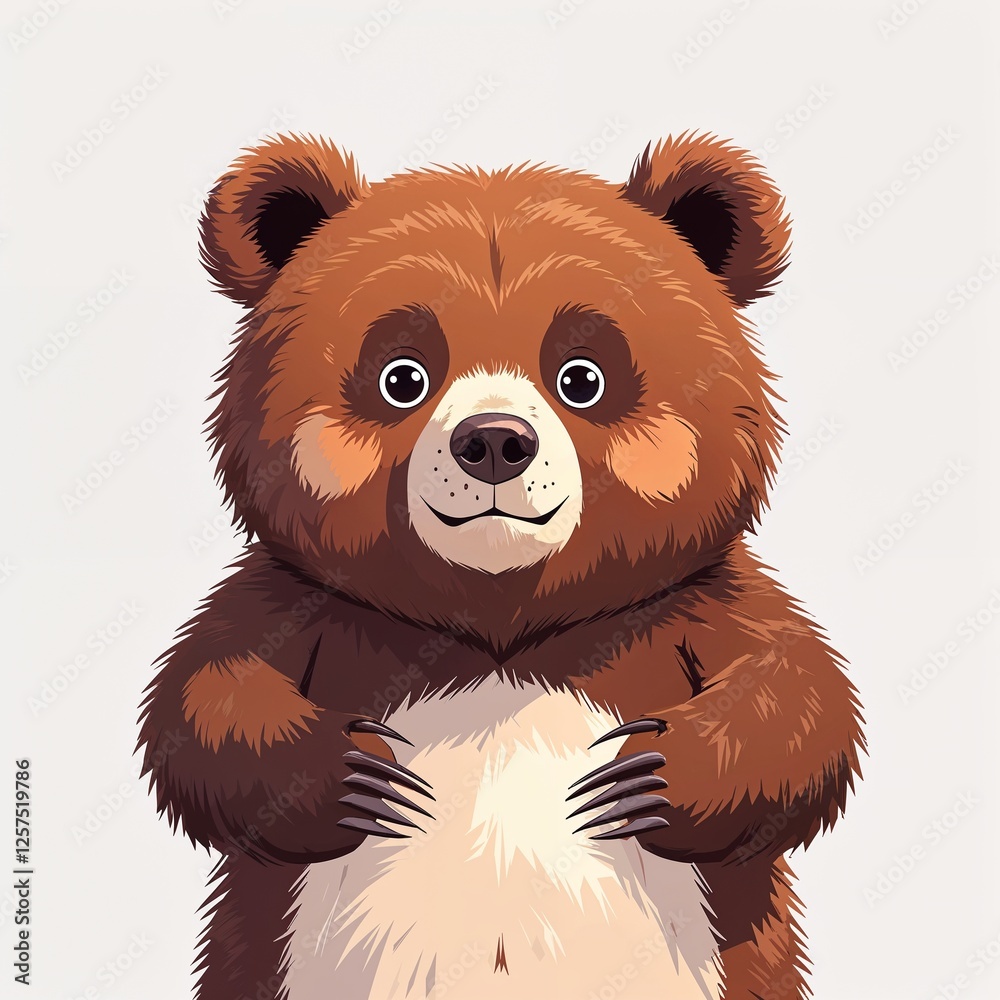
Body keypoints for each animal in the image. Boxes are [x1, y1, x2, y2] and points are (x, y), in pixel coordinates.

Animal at [138, 131, 865, 1000]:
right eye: (402, 375)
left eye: (581, 376)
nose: (493, 441)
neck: (499, 627)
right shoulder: (311, 602)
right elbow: (204, 698)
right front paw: (354, 774)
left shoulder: (682, 600)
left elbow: (795, 694)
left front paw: (650, 775)